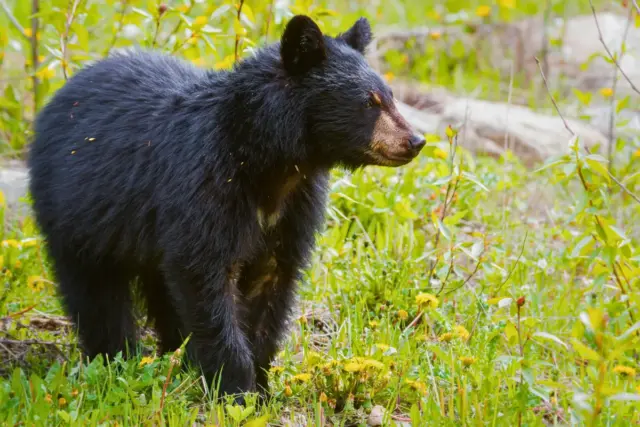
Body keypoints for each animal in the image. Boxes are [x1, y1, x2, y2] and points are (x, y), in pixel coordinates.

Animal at [27, 14, 425, 401]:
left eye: (390, 96)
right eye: (369, 102)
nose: (416, 140)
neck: (271, 163)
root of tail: (58, 97)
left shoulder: (295, 207)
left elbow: (272, 283)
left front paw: (261, 388)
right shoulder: (205, 184)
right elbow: (205, 274)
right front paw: (235, 390)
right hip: (76, 212)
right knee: (96, 294)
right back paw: (116, 358)